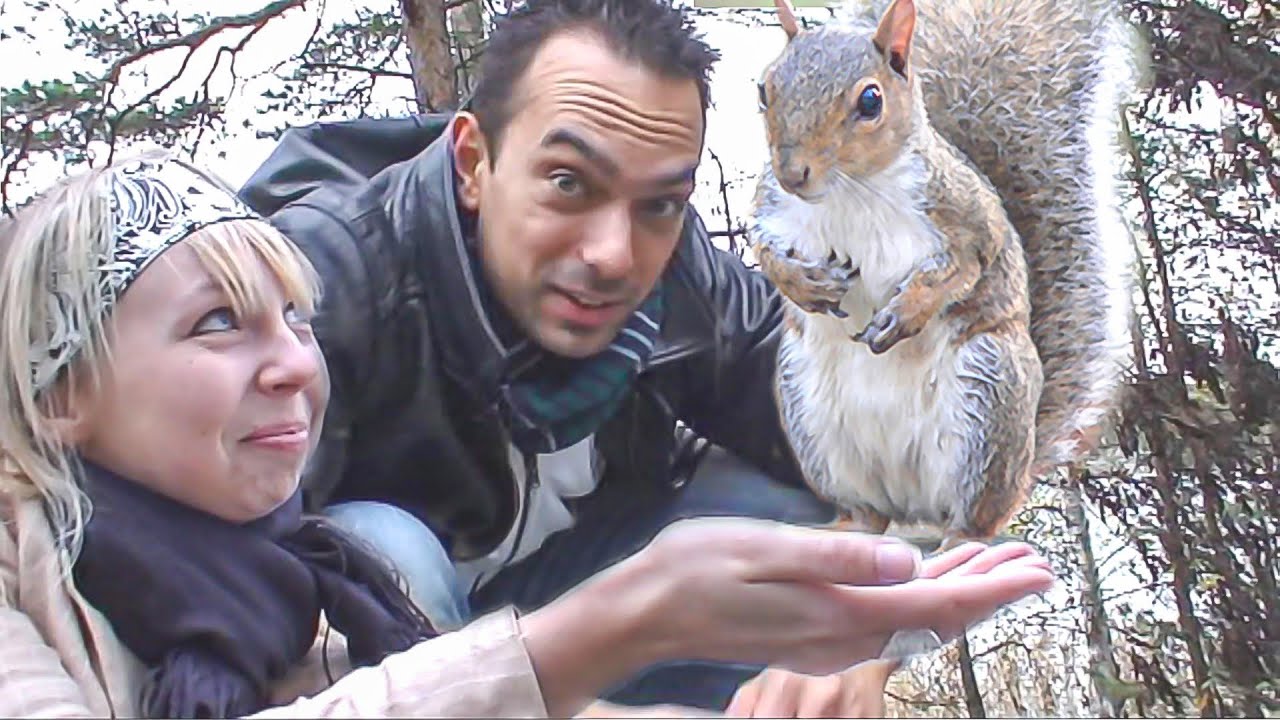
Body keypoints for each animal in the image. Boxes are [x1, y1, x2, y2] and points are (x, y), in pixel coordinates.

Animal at [749, 0, 1135, 549]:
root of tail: (911, 507)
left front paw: (906, 311)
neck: (850, 192)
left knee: (973, 518)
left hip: (989, 397)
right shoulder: (771, 208)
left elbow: (964, 272)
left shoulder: (967, 221)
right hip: (809, 414)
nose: (791, 173)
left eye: (871, 101)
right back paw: (845, 527)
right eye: (765, 89)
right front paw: (803, 283)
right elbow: (766, 251)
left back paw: (959, 539)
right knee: (868, 512)